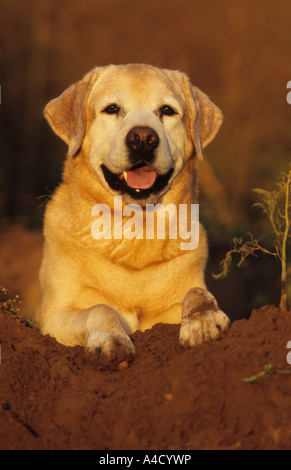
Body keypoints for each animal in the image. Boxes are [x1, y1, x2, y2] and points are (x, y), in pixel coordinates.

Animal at [37, 65, 230, 368]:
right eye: (112, 108)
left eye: (167, 110)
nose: (143, 139)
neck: (137, 229)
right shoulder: (54, 317)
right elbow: (100, 308)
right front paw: (111, 340)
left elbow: (197, 293)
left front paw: (203, 320)